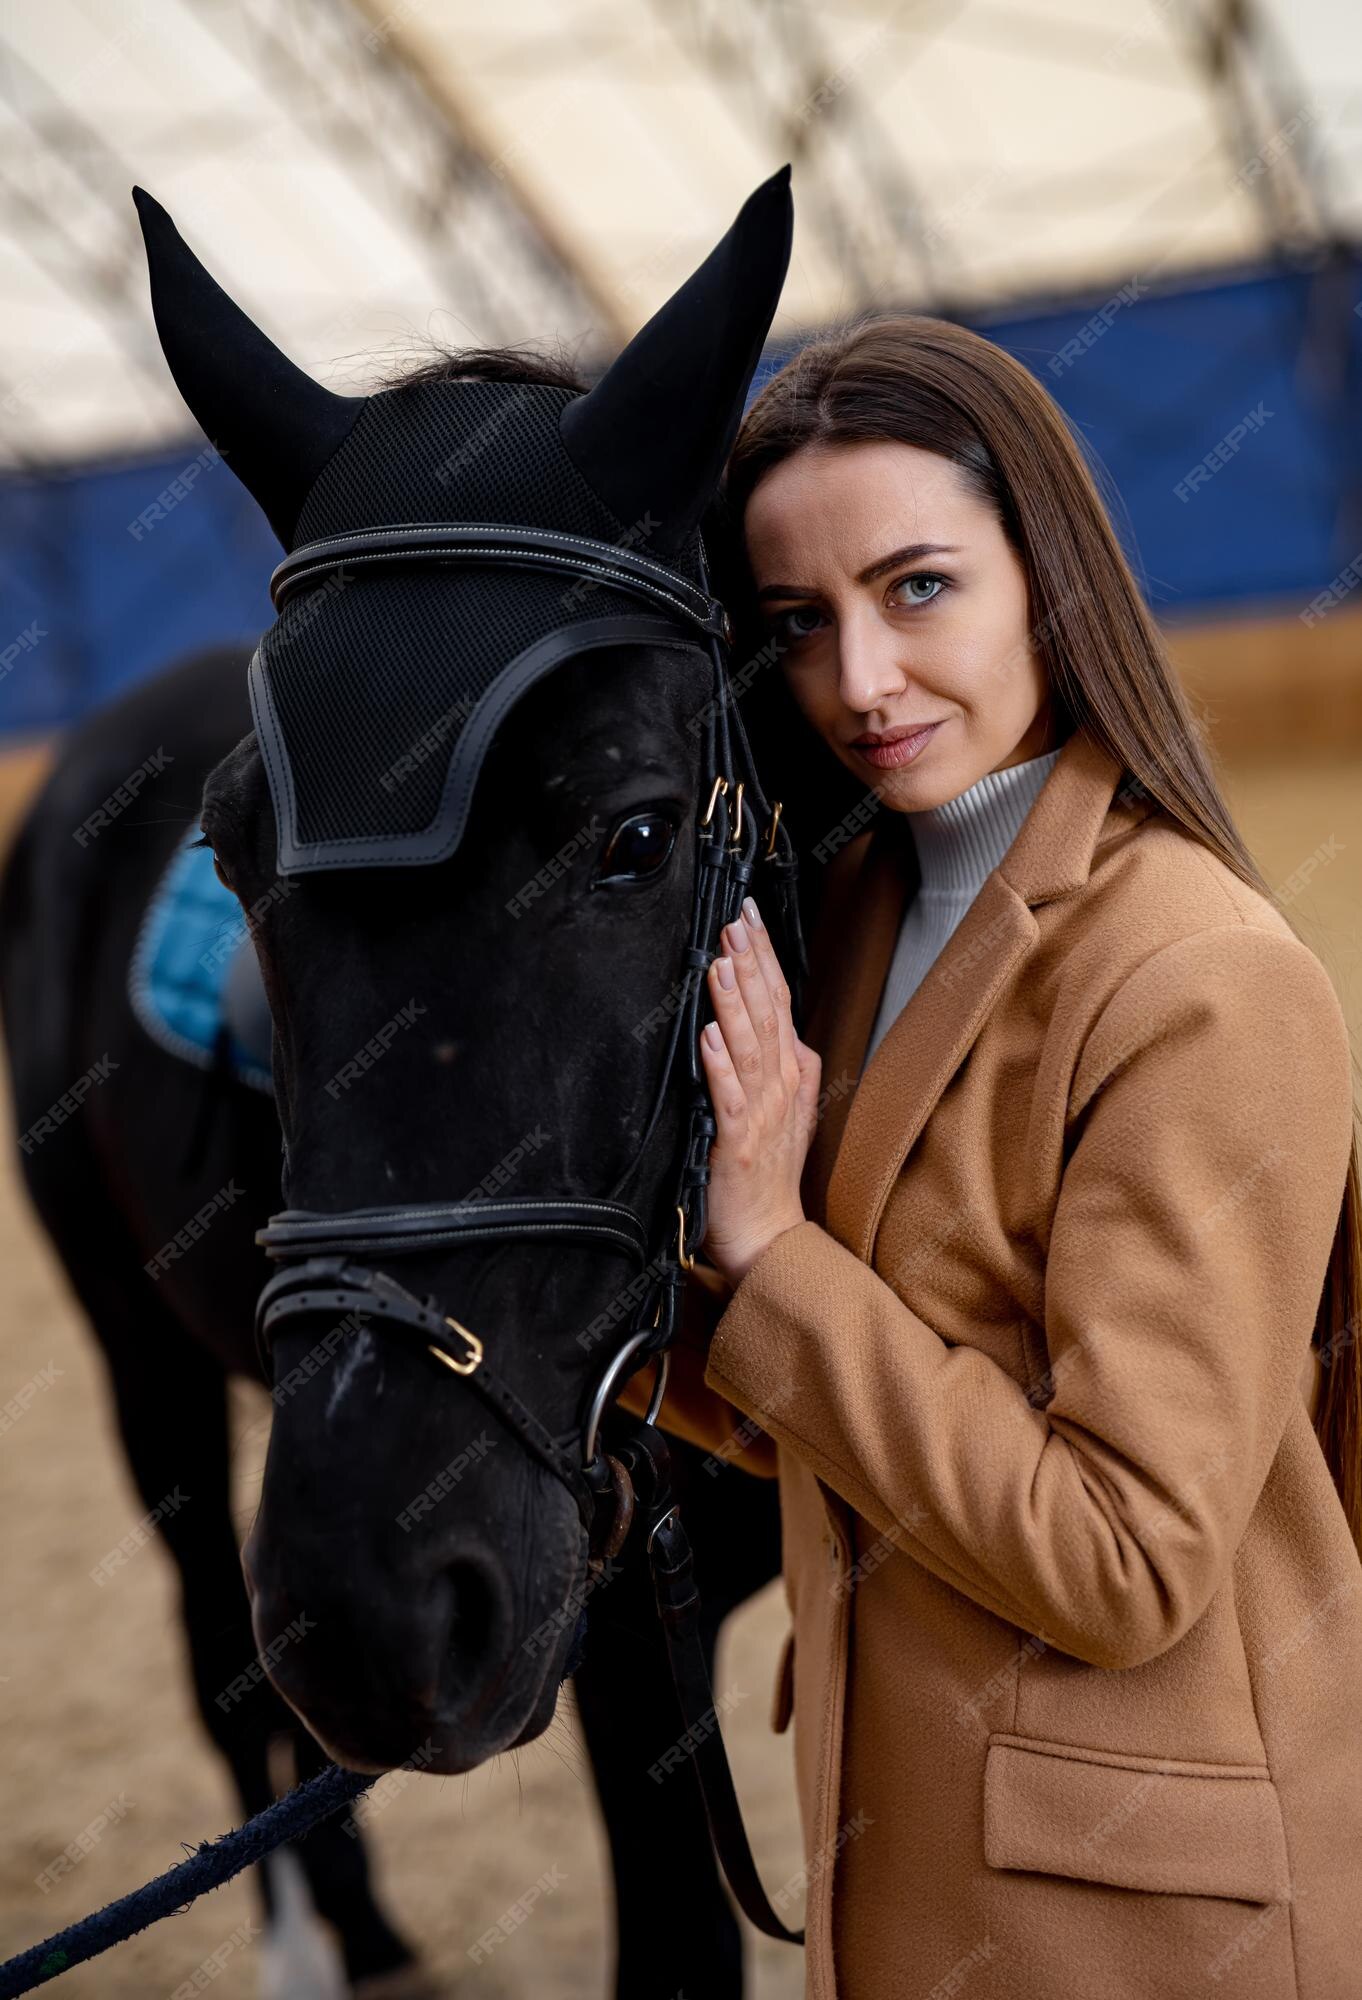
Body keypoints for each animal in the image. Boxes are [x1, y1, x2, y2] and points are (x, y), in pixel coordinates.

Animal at [0, 164, 808, 1992]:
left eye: (636, 835)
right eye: (232, 853)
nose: (371, 1615)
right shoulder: (623, 1657)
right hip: (140, 1352)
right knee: (216, 1656)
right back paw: (322, 1934)